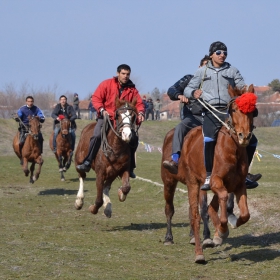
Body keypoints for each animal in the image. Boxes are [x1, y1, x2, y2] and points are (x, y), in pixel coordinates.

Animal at [162, 84, 256, 264]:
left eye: (253, 111)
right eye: (234, 109)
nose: (245, 136)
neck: (231, 149)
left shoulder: (237, 184)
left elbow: (245, 214)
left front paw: (223, 230)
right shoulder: (215, 181)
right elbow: (220, 202)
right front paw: (221, 230)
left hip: (201, 186)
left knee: (204, 209)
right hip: (176, 182)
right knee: (184, 212)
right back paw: (187, 246)